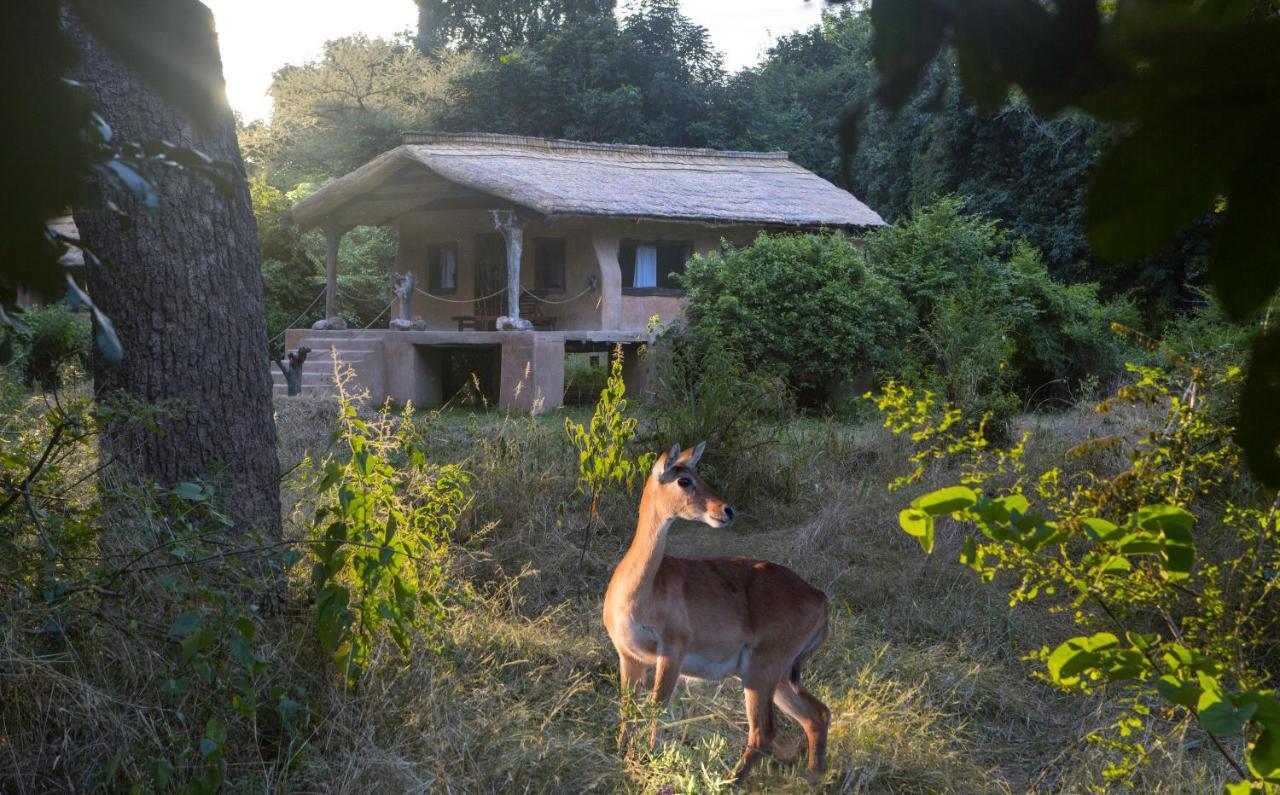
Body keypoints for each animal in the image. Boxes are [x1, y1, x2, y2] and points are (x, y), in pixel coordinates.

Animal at [604, 442, 834, 783]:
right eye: (684, 479)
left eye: (696, 474)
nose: (727, 510)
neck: (640, 590)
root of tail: (821, 599)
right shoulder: (629, 656)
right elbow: (628, 708)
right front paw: (623, 755)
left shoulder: (672, 652)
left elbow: (657, 708)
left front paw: (646, 758)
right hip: (777, 677)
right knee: (817, 714)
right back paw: (810, 778)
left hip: (761, 672)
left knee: (764, 730)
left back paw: (731, 780)